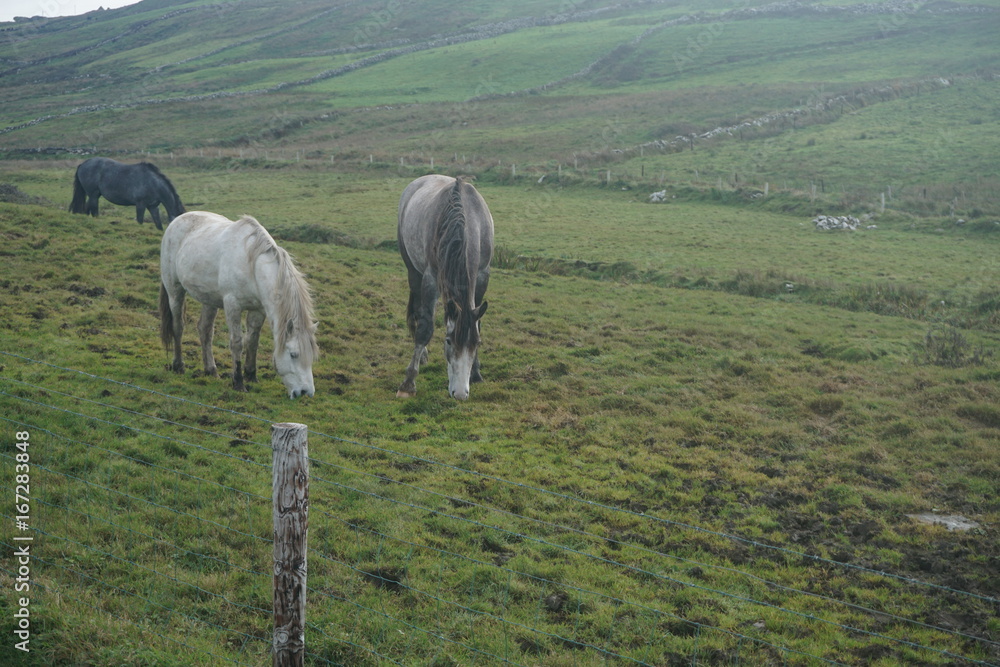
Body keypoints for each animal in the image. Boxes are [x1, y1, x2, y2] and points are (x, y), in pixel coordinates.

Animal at [159, 212, 318, 399]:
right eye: (293, 355)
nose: (306, 392)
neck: (252, 266)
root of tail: (177, 220)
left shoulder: (258, 310)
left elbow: (253, 341)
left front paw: (251, 375)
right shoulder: (232, 305)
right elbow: (237, 343)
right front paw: (238, 382)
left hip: (209, 300)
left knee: (205, 331)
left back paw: (211, 370)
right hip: (175, 291)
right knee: (178, 326)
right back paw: (178, 366)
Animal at [396, 175, 493, 400]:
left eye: (476, 344)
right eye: (449, 341)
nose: (460, 394)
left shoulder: (482, 276)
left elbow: (478, 324)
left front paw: (476, 373)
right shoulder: (431, 278)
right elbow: (425, 329)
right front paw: (408, 383)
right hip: (413, 270)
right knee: (418, 311)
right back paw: (422, 356)